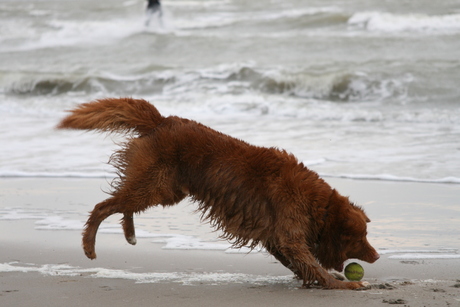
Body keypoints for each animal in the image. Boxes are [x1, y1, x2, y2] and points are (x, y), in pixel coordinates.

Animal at [57, 98, 380, 292]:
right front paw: (344, 285)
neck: (320, 204)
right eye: (360, 238)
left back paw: (129, 234)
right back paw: (89, 246)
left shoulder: (276, 238)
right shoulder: (288, 235)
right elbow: (311, 263)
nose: (377, 256)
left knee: (123, 204)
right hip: (155, 186)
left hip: (162, 190)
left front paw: (321, 279)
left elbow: (303, 264)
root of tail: (161, 119)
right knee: (103, 206)